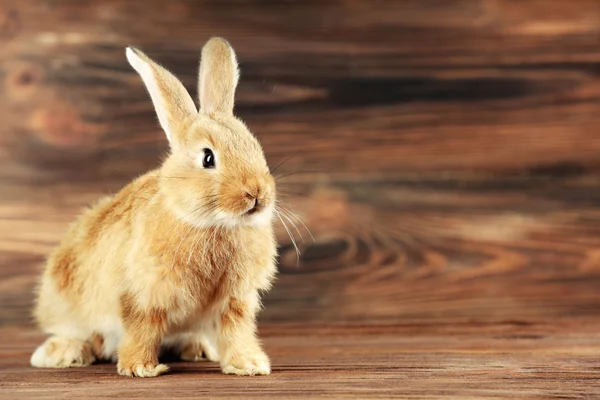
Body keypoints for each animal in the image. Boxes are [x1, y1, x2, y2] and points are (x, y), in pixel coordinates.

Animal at [29, 37, 278, 378]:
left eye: (255, 146)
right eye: (208, 158)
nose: (257, 193)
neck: (210, 222)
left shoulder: (235, 300)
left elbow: (236, 331)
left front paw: (249, 365)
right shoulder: (142, 294)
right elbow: (142, 329)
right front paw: (141, 368)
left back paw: (197, 348)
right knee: (75, 331)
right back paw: (62, 354)